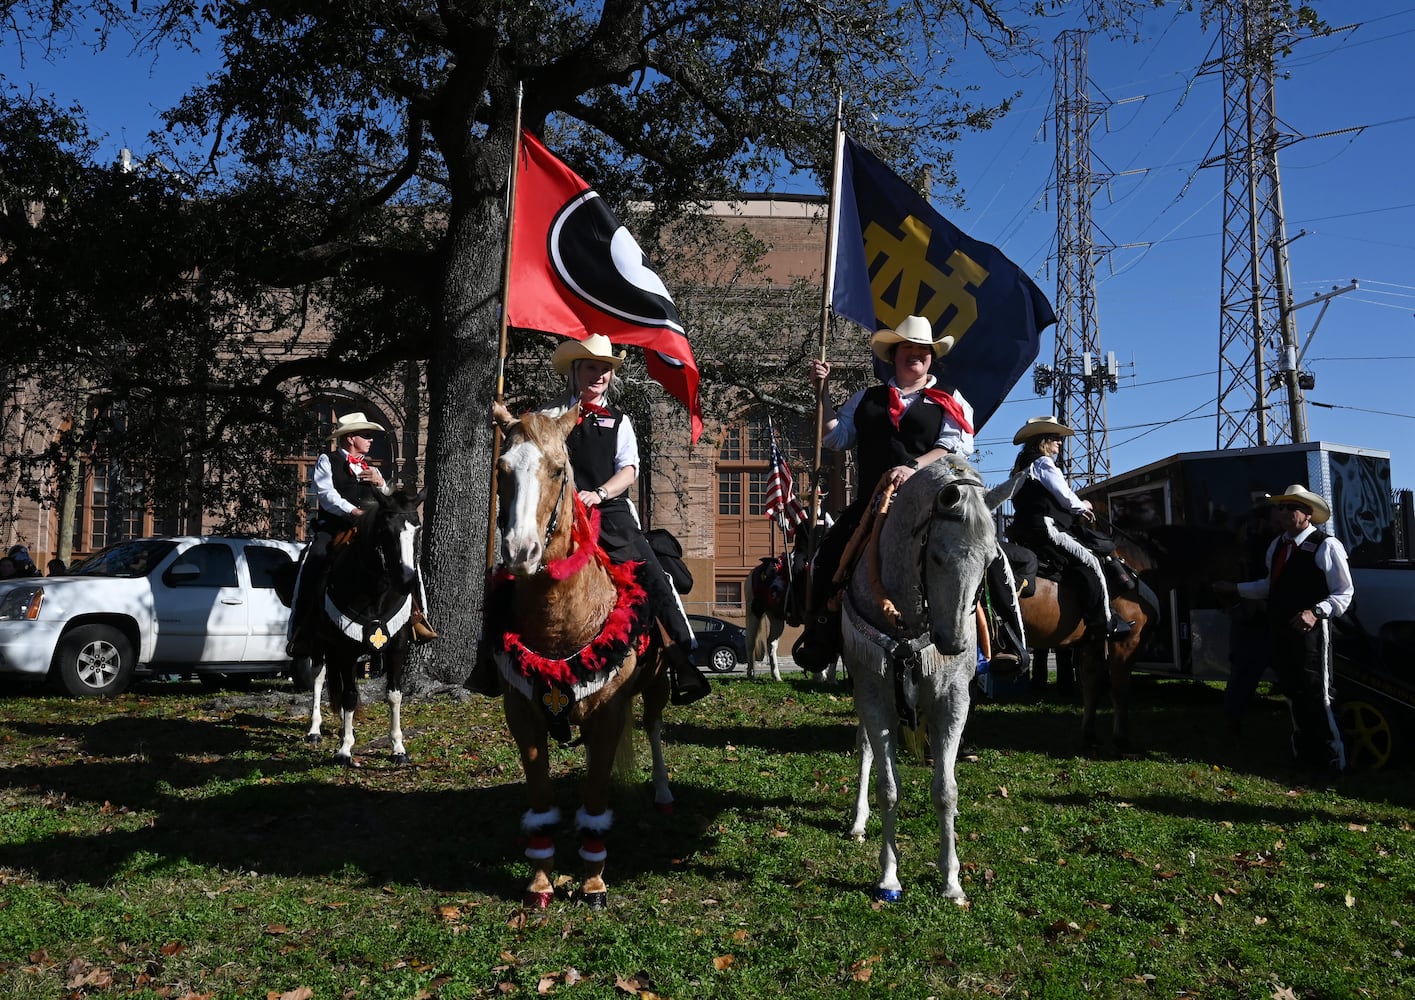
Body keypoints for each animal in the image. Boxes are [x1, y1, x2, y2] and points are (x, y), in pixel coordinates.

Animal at [304, 492, 424, 769]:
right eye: (386, 530)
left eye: (418, 529)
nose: (406, 581)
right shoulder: (346, 648)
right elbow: (349, 695)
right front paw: (345, 750)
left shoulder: (397, 645)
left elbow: (394, 694)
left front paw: (398, 748)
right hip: (320, 642)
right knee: (319, 676)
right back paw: (315, 730)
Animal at [492, 401, 673, 910]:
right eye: (502, 469)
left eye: (559, 469)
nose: (521, 551)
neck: (560, 617)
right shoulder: (522, 712)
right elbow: (540, 797)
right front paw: (540, 881)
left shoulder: (610, 711)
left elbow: (594, 795)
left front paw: (593, 881)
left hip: (658, 686)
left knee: (653, 729)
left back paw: (662, 793)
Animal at [837, 458, 996, 905]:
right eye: (938, 557)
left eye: (990, 559)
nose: (955, 643)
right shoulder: (874, 696)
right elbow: (888, 786)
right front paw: (889, 877)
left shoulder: (952, 700)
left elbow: (946, 790)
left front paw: (952, 881)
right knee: (866, 749)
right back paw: (858, 821)